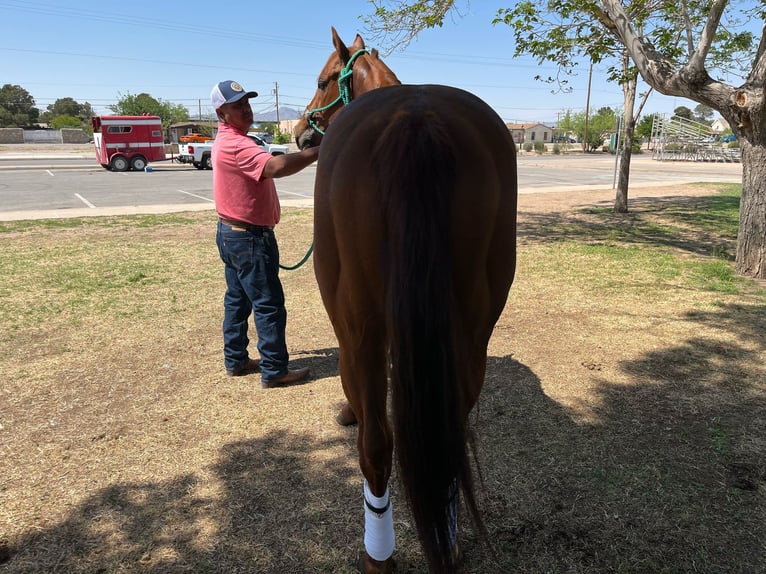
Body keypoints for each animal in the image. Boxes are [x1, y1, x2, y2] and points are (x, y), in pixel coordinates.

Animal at [294, 28, 518, 573]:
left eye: (323, 79)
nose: (301, 134)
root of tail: (416, 120)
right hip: (472, 329)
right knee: (448, 432)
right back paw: (447, 538)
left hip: (357, 327)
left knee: (376, 444)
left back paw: (380, 555)